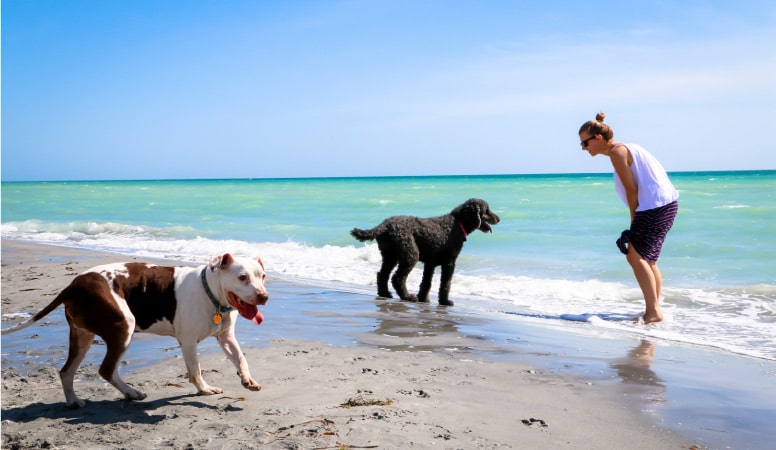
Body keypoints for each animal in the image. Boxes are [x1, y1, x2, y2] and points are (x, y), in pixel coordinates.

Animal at [2, 253, 270, 408]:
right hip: (123, 326)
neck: (212, 294)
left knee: (67, 371)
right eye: (243, 277)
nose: (264, 296)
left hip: (82, 336)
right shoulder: (188, 342)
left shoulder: (226, 337)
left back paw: (73, 401)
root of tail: (74, 284)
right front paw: (204, 390)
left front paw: (248, 380)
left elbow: (241, 359)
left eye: (263, 276)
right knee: (107, 369)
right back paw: (131, 392)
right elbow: (195, 371)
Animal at [350, 198, 500, 306]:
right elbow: (445, 284)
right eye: (487, 210)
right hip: (410, 255)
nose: (498, 219)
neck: (457, 223)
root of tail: (384, 225)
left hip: (390, 256)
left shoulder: (430, 263)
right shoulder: (449, 263)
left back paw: (385, 294)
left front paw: (424, 299)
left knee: (382, 275)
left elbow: (426, 283)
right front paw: (445, 302)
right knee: (397, 278)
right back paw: (407, 297)